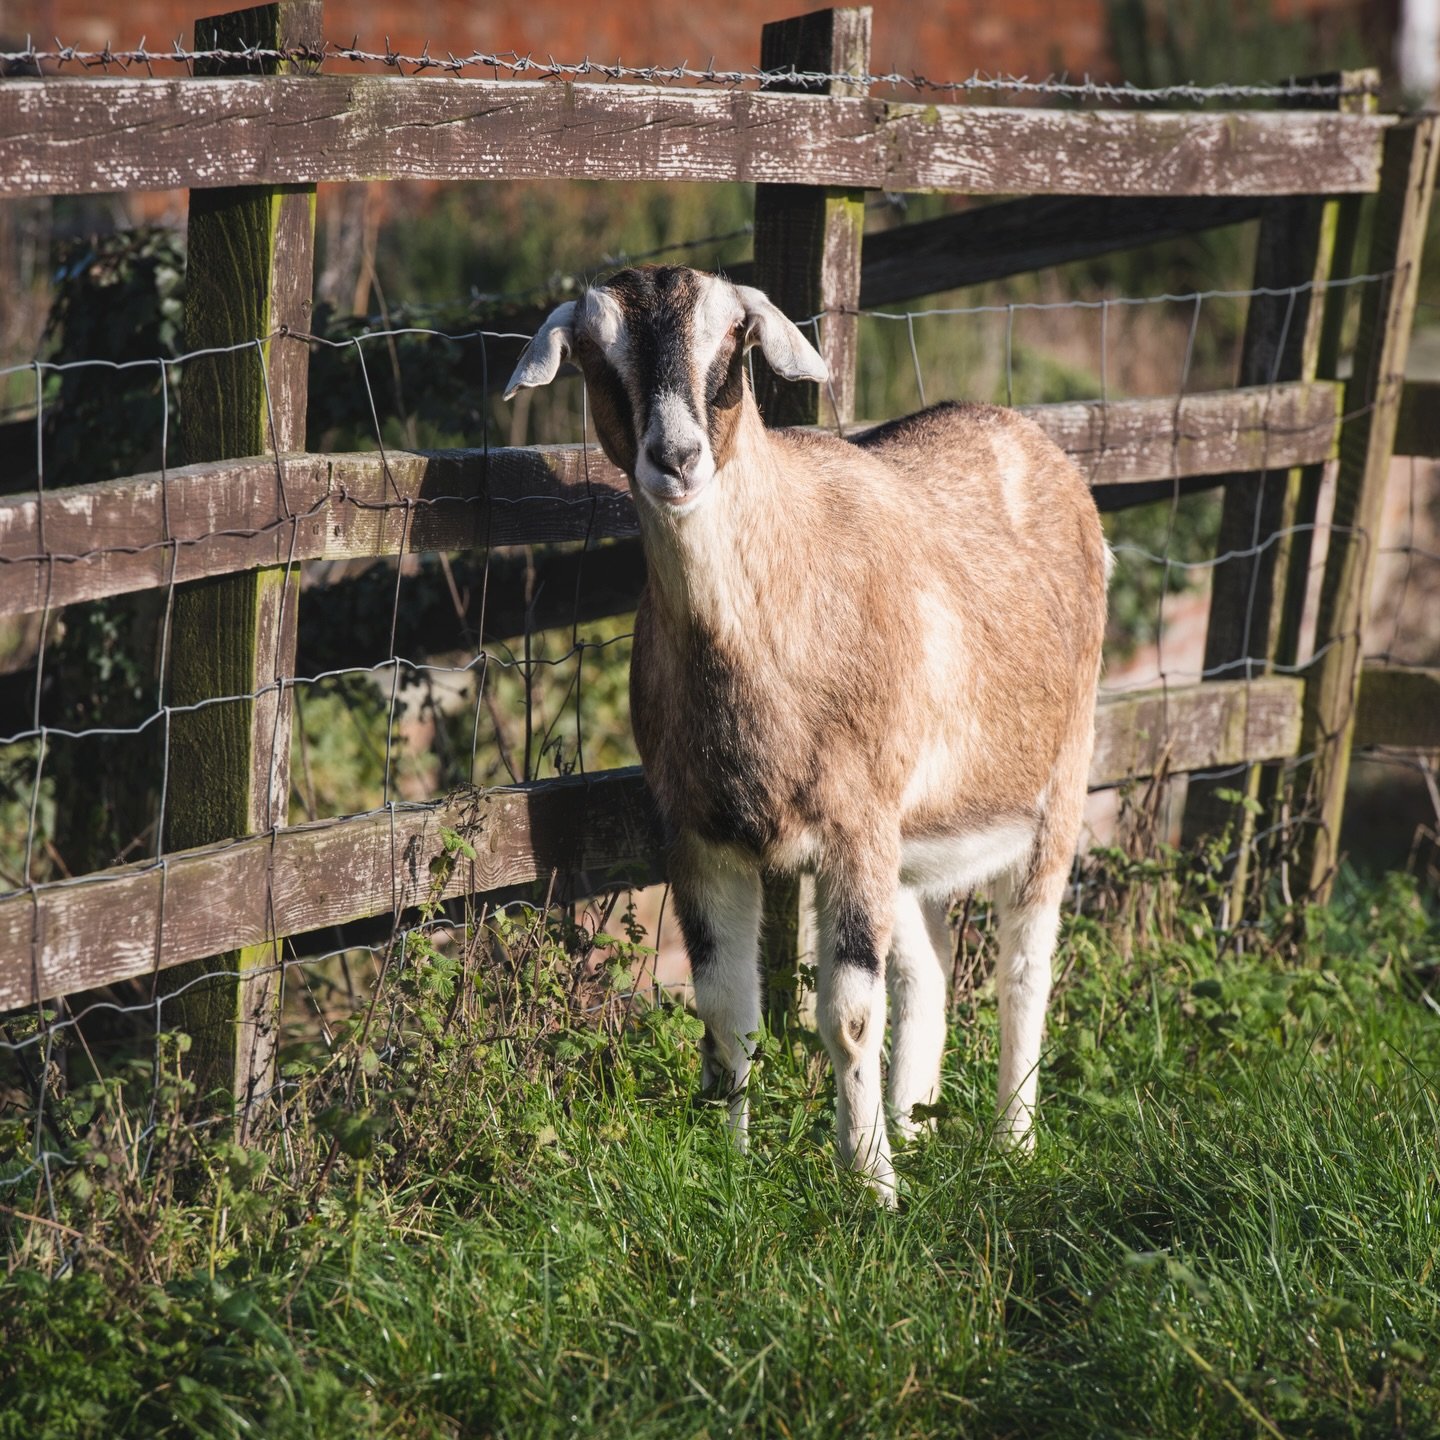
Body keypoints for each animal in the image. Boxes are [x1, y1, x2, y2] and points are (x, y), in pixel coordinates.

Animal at [505, 265, 1108, 1197]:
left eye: (734, 341)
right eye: (597, 356)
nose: (676, 459)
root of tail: (1022, 430)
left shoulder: (854, 820)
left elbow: (850, 1013)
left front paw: (869, 1186)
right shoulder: (697, 835)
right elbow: (728, 1012)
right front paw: (732, 1166)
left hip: (1059, 779)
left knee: (1024, 965)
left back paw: (1012, 1140)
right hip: (915, 832)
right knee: (929, 969)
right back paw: (915, 1122)